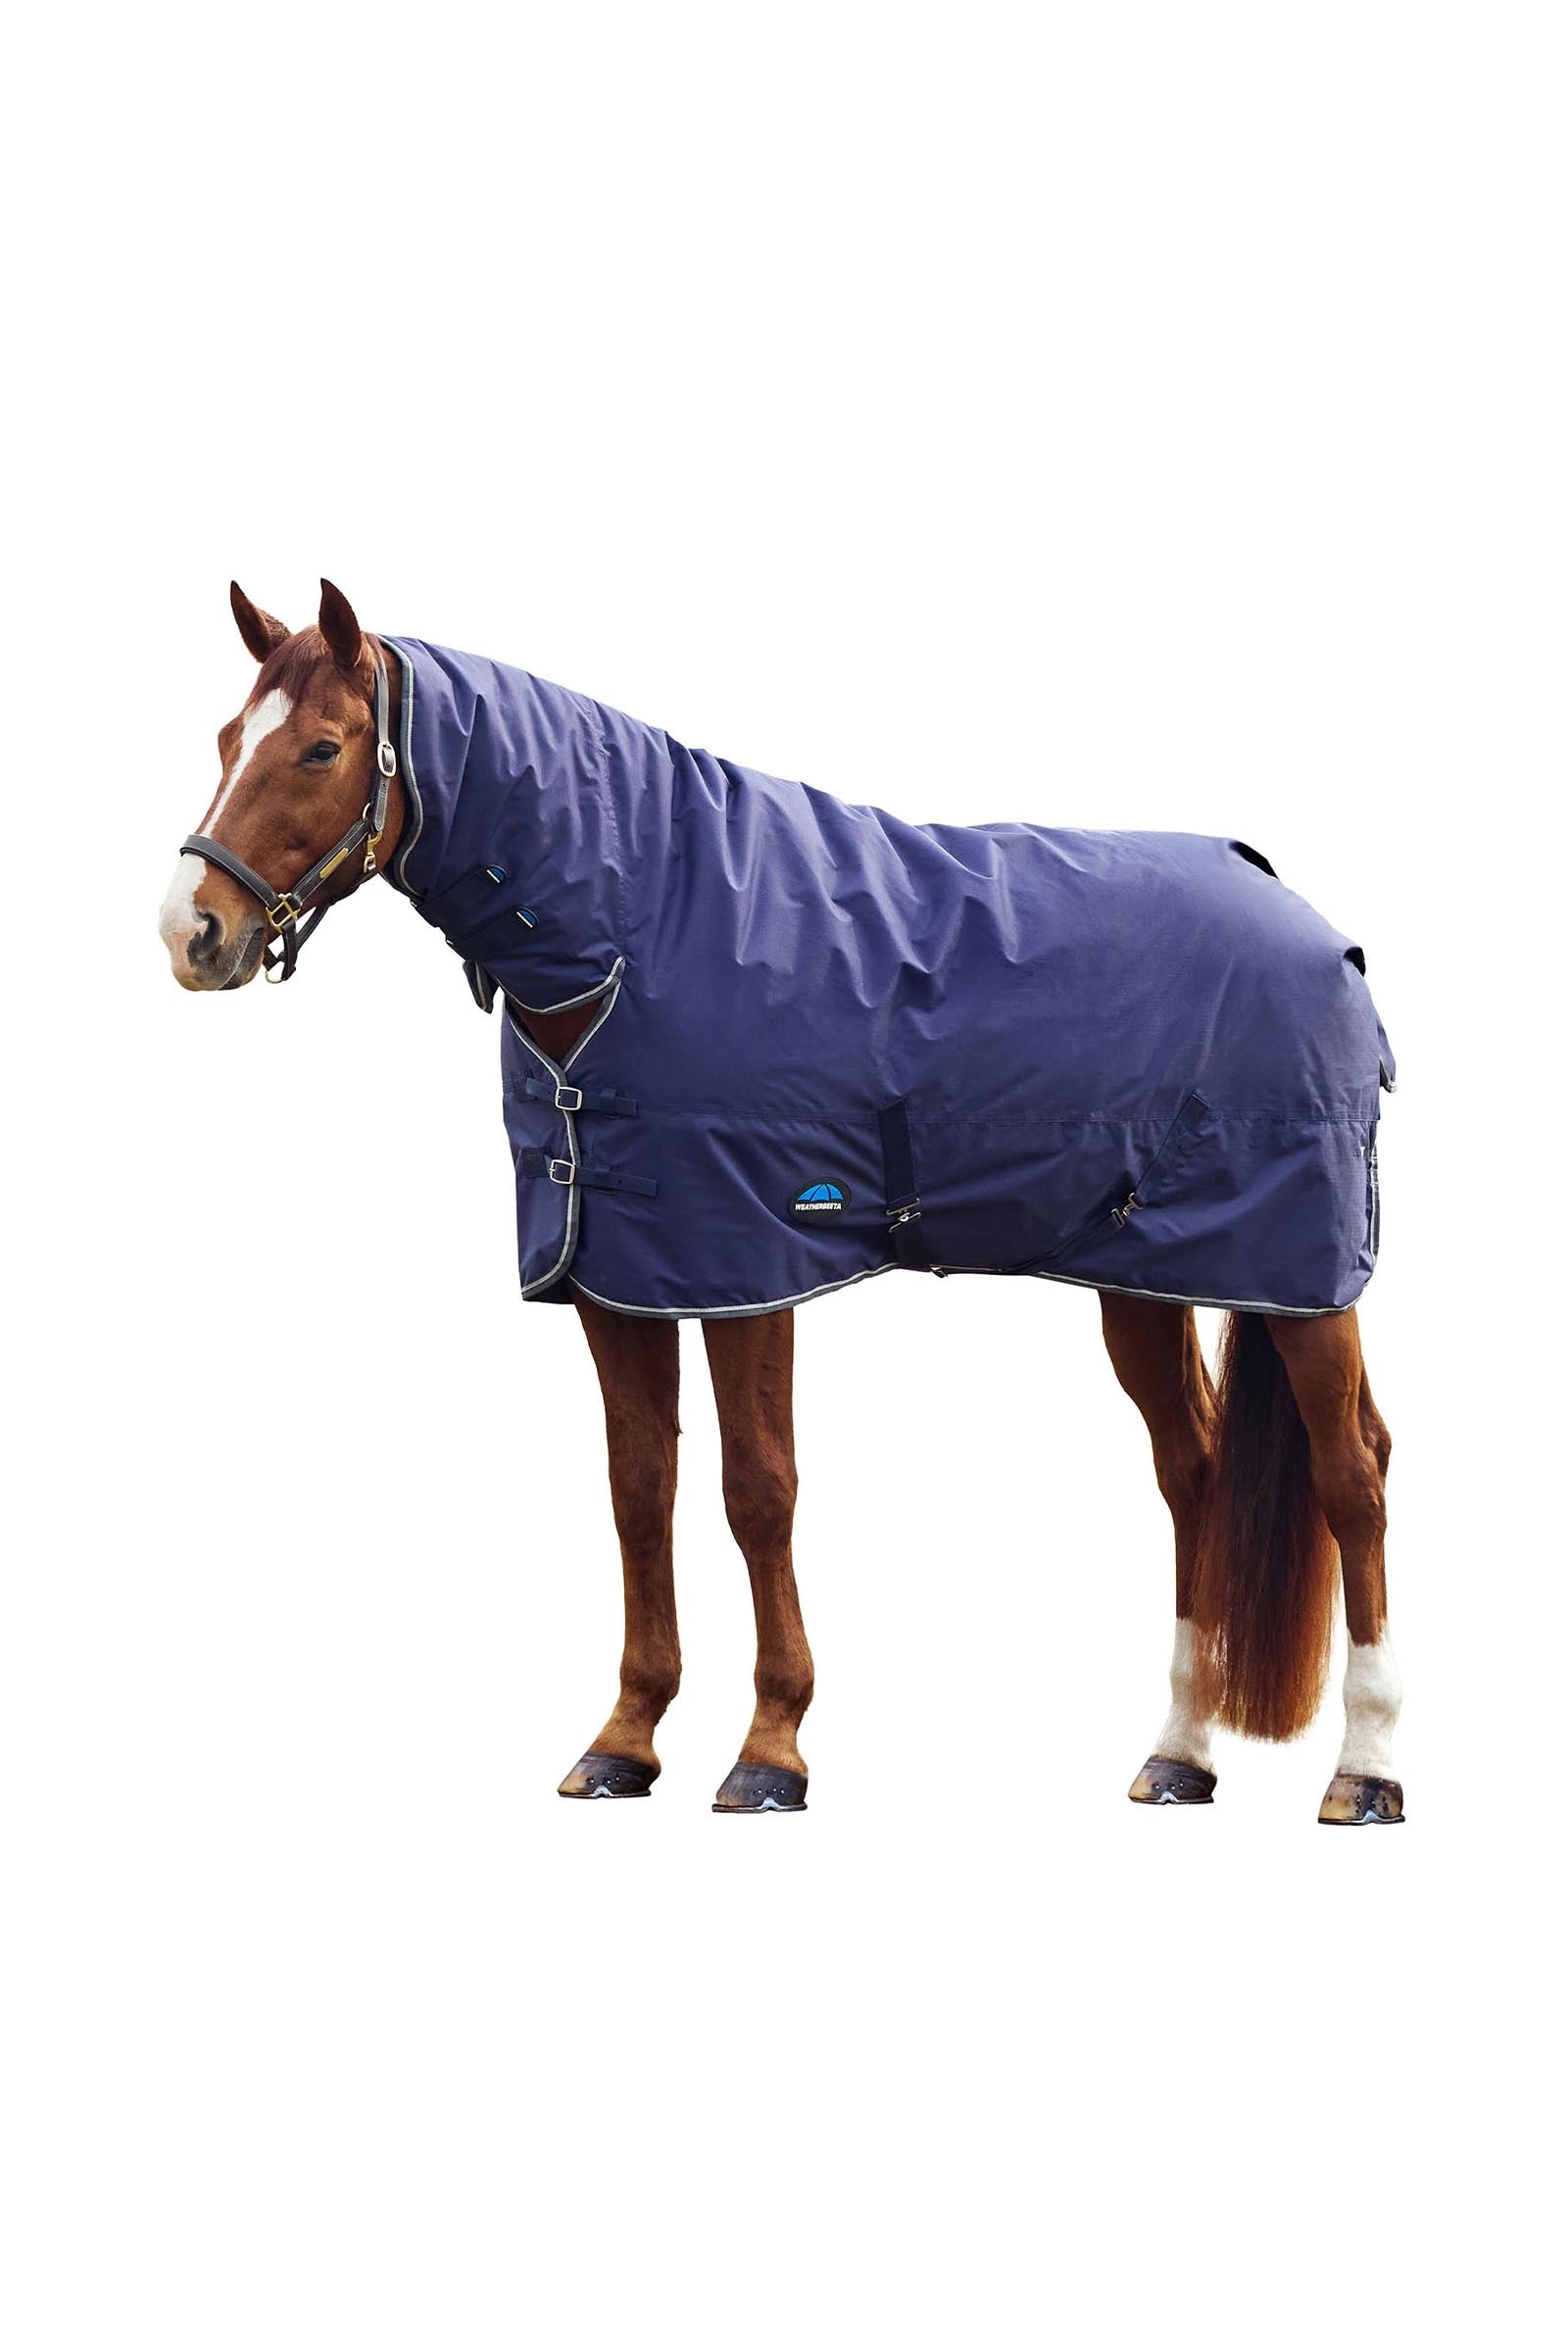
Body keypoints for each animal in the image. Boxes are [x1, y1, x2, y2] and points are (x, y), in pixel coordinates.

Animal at [159, 579, 1403, 1824]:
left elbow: (757, 1491)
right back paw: (1179, 1754)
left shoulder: (747, 1266)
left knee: (1353, 1473)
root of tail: (1310, 922)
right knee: (1192, 1471)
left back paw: (1367, 1768)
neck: (643, 928)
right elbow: (639, 1490)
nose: (191, 933)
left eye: (322, 748)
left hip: (1304, 1281)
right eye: (224, 740)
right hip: (1142, 1277)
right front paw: (624, 1740)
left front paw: (769, 1751)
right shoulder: (617, 1277)